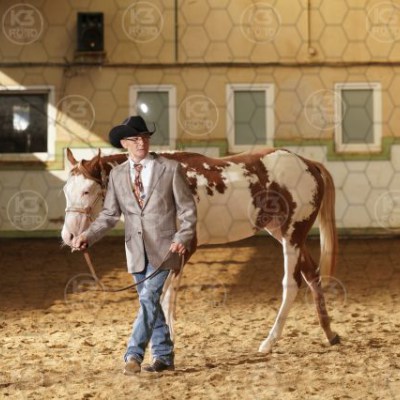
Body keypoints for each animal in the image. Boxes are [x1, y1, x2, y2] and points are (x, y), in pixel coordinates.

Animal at [61, 147, 340, 353]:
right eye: (66, 189)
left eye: (87, 190)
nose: (70, 236)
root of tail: (308, 163)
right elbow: (153, 297)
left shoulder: (181, 250)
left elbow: (165, 298)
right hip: (284, 234)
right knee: (312, 275)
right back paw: (330, 334)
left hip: (293, 236)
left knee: (291, 285)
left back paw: (269, 342)